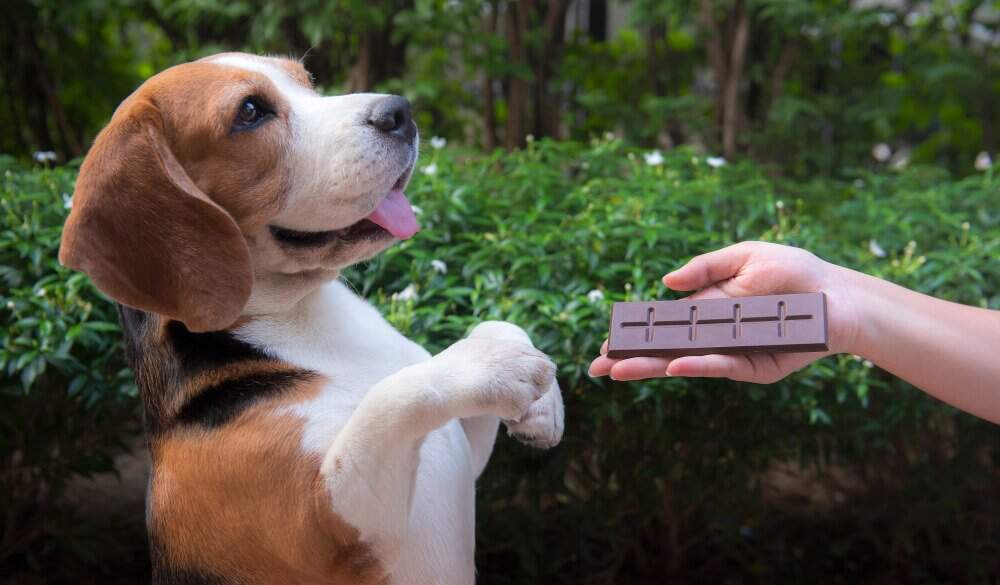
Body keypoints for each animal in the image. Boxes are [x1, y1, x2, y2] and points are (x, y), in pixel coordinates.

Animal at [58, 52, 565, 584]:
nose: (399, 112)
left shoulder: (465, 454)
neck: (300, 315)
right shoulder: (325, 525)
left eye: (307, 82)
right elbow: (391, 397)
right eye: (250, 111)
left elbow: (491, 327)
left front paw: (541, 405)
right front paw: (491, 365)